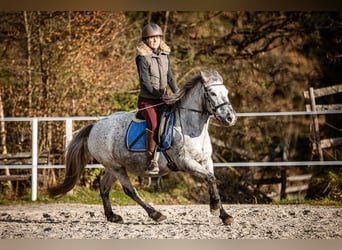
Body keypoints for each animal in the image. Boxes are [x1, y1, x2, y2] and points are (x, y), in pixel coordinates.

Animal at [48, 69, 238, 225]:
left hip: (114, 167)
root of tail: (95, 125)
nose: (230, 118)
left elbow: (212, 180)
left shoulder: (206, 161)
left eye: (226, 92)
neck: (192, 128)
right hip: (116, 167)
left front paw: (225, 215)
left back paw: (112, 216)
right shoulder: (185, 162)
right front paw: (215, 208)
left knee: (104, 187)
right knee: (129, 190)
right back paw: (155, 214)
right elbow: (210, 179)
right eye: (212, 93)